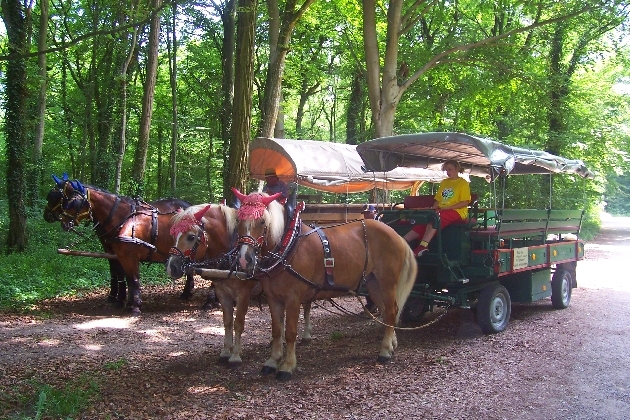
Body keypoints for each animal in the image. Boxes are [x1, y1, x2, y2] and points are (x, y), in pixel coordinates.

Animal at [43, 174, 217, 316]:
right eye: (64, 199)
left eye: (73, 202)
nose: (48, 217)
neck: (121, 216)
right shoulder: (113, 250)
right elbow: (120, 274)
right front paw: (121, 299)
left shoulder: (128, 254)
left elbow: (132, 277)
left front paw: (133, 305)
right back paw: (190, 293)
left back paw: (205, 299)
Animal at [168, 203, 314, 364]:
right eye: (173, 235)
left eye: (191, 237)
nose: (171, 267)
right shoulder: (222, 293)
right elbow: (227, 322)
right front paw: (226, 351)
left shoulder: (243, 294)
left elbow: (238, 323)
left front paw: (235, 355)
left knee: (307, 306)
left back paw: (306, 335)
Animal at [232, 189, 420, 380]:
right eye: (239, 220)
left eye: (262, 221)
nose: (244, 259)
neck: (287, 246)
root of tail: (395, 234)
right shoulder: (273, 298)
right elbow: (277, 330)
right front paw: (272, 362)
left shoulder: (293, 299)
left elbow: (290, 332)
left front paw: (287, 366)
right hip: (373, 284)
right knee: (386, 311)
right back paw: (391, 344)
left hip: (387, 282)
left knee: (391, 311)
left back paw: (384, 351)